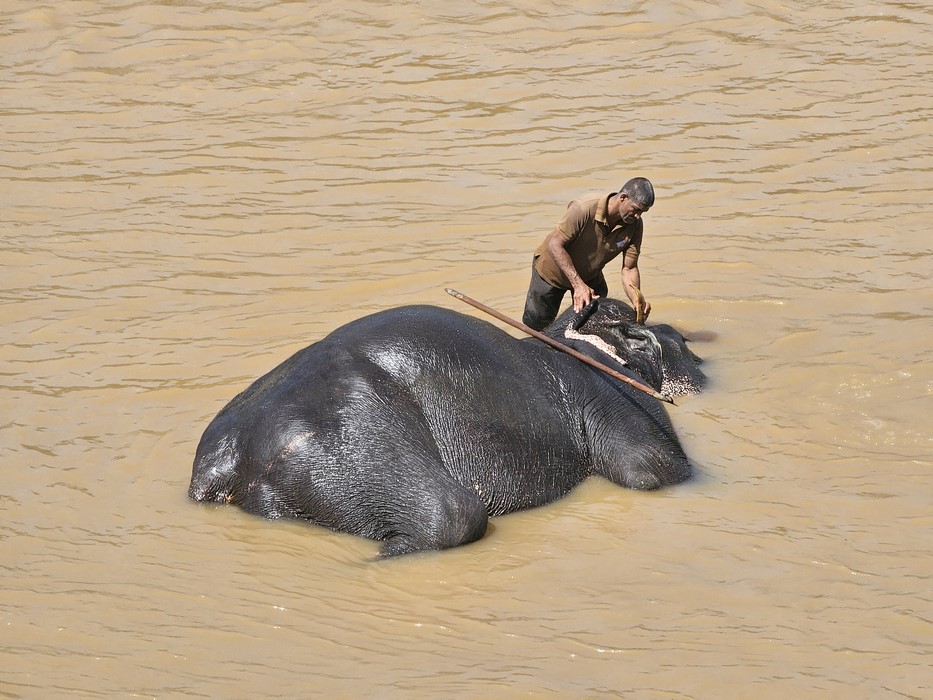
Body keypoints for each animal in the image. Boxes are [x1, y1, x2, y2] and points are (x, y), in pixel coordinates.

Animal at [188, 297, 706, 557]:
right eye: (678, 339)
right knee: (453, 516)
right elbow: (651, 468)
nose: (703, 367)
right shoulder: (612, 393)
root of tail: (222, 463)